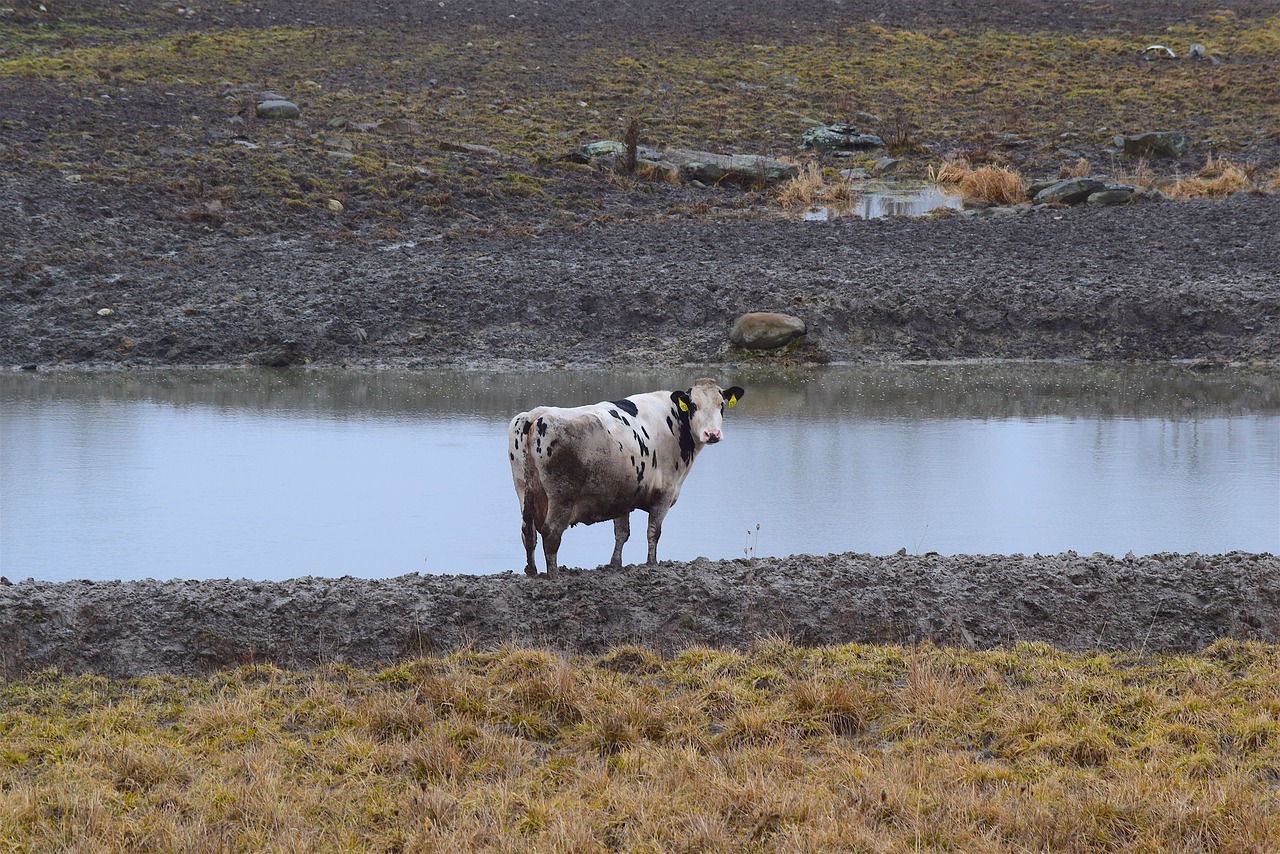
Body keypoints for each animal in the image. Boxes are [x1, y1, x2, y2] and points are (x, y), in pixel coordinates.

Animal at [509, 376, 747, 578]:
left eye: (721, 405)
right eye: (694, 405)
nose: (712, 434)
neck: (673, 421)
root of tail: (535, 415)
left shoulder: (621, 495)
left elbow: (622, 533)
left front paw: (615, 564)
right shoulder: (664, 493)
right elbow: (653, 531)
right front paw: (652, 563)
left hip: (524, 490)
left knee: (528, 532)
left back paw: (532, 572)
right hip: (561, 497)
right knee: (551, 534)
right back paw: (554, 576)